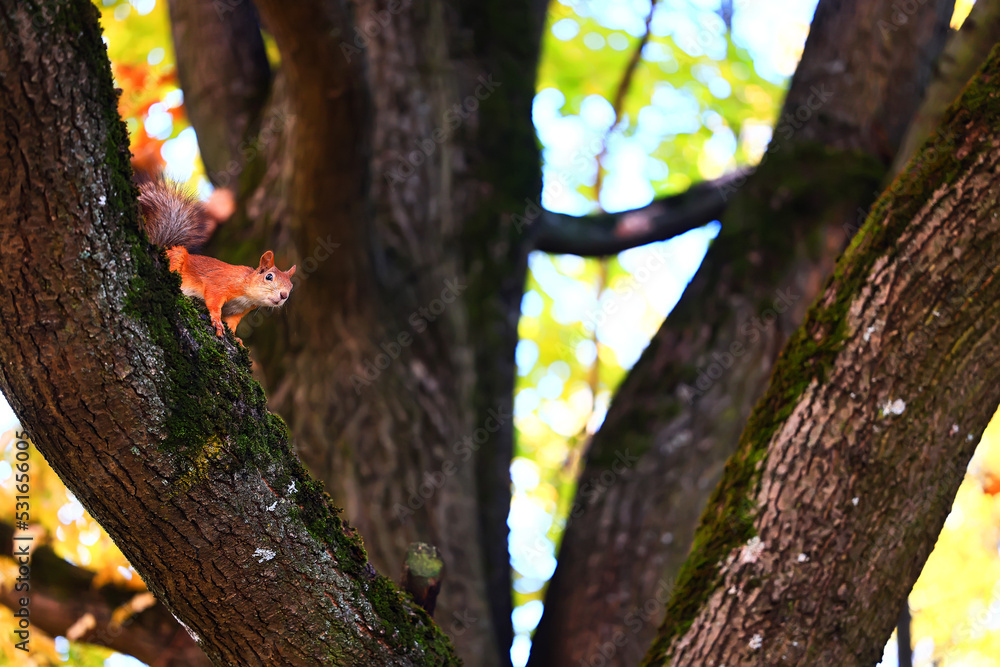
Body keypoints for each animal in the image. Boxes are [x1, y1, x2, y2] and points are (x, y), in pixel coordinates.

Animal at [138, 175, 296, 345]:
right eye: (269, 277)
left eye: (291, 286)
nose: (284, 295)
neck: (247, 293)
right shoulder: (220, 284)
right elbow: (214, 302)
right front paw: (217, 322)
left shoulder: (236, 312)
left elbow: (232, 325)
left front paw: (236, 338)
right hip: (177, 257)